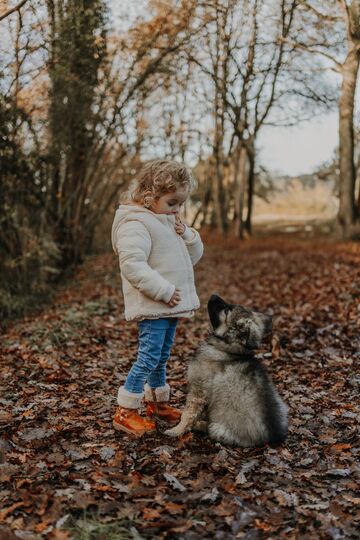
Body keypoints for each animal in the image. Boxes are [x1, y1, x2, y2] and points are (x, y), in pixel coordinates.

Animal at [165, 296, 288, 448]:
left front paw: (176, 430)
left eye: (228, 309)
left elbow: (188, 414)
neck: (229, 348)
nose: (213, 295)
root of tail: (271, 438)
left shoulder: (198, 391)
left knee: (210, 428)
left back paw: (200, 425)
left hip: (217, 428)